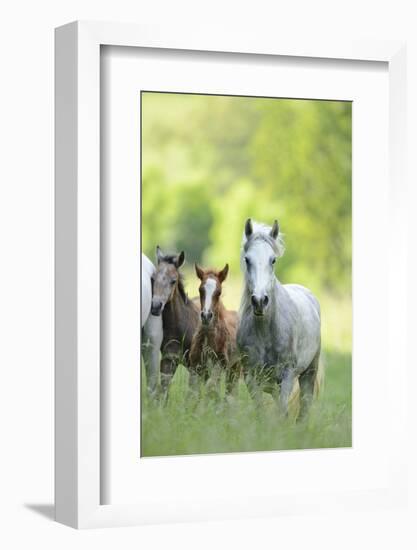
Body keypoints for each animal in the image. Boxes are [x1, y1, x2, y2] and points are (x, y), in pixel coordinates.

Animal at [188, 266, 237, 394]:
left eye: (219, 292)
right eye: (200, 290)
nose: (206, 316)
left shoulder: (220, 366)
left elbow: (210, 386)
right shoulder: (195, 367)